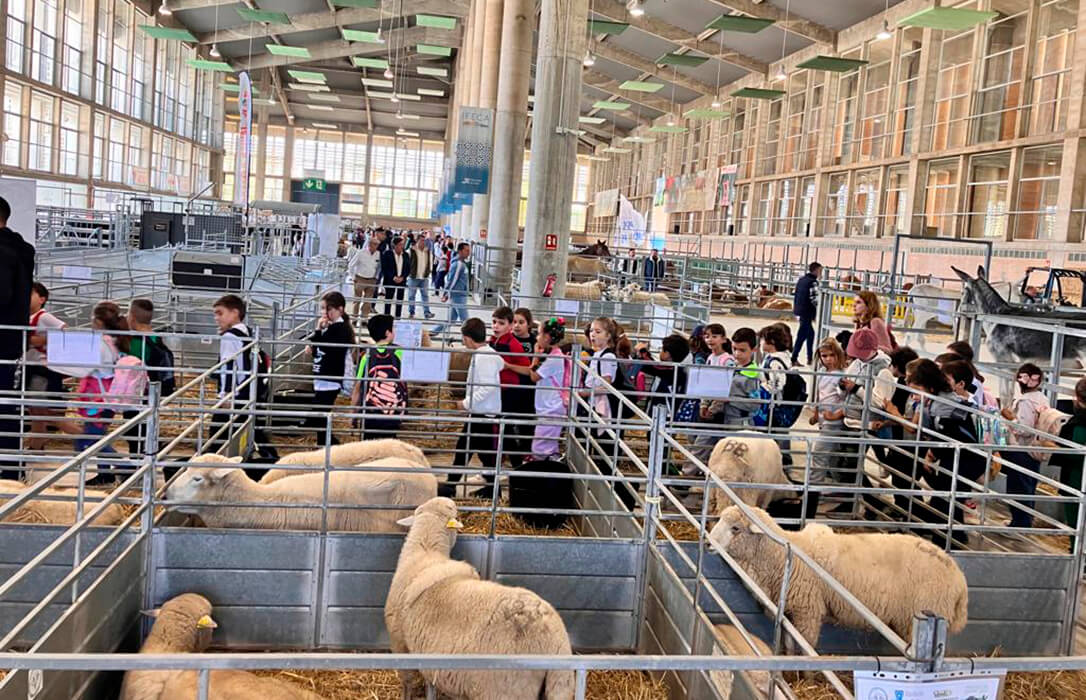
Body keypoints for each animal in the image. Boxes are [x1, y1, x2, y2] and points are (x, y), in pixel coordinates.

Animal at [388, 497, 577, 698]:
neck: (424, 552)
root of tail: (556, 641)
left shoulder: (398, 640)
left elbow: (407, 681)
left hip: (505, 689)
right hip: (558, 684)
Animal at [712, 505, 968, 646]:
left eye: (735, 528)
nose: (707, 542)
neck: (783, 554)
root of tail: (960, 579)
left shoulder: (809, 610)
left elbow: (805, 646)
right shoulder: (791, 612)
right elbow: (789, 644)